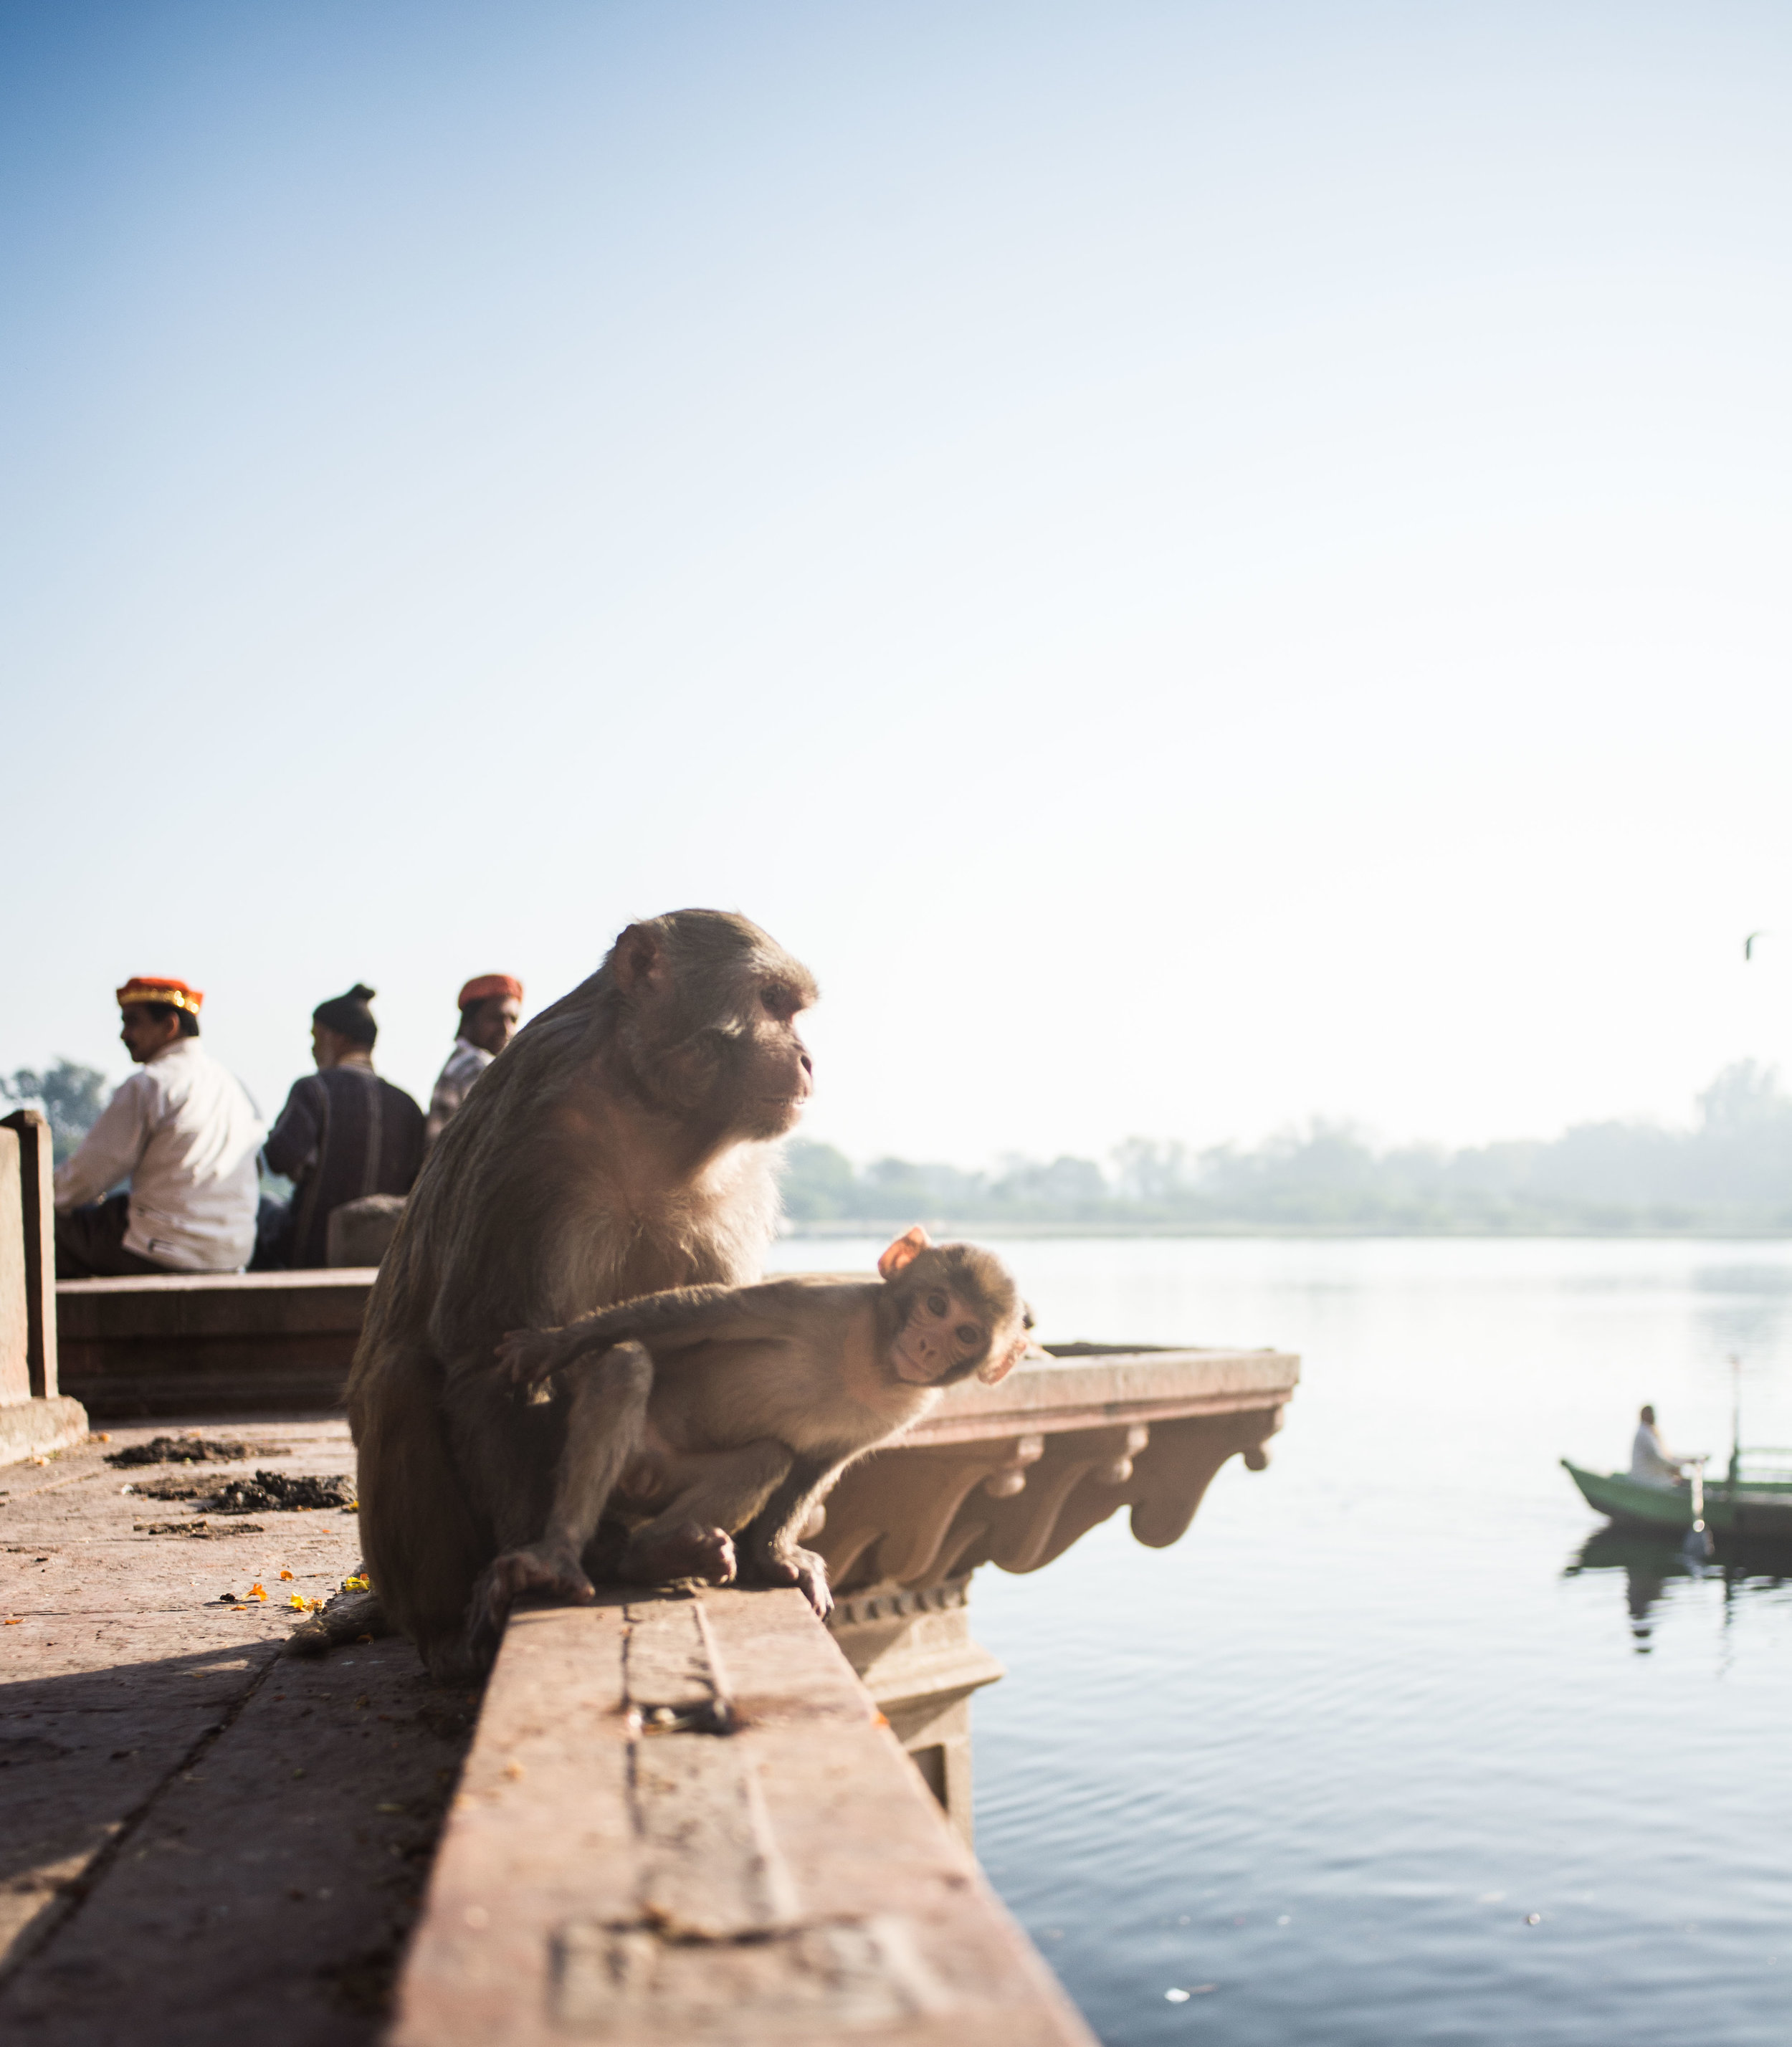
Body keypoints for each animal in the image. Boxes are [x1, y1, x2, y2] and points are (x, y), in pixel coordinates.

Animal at [342, 912, 819, 1678]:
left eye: (795, 1009)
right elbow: (486, 1359)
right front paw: (540, 1565)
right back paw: (454, 1633)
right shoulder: (532, 1143)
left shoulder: (740, 1185)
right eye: (772, 1002)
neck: (655, 1114)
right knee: (401, 1377)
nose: (807, 1059)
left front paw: (772, 1554)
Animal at [483, 1220, 1032, 1654]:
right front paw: (551, 1344)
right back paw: (560, 1553)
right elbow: (707, 1313)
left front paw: (776, 1554)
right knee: (626, 1365)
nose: (927, 1345)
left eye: (966, 1334)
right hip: (620, 1456)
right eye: (937, 1304)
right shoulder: (825, 1301)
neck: (877, 1364)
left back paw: (656, 1556)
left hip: (658, 1482)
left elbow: (819, 1462)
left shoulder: (908, 1408)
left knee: (767, 1457)